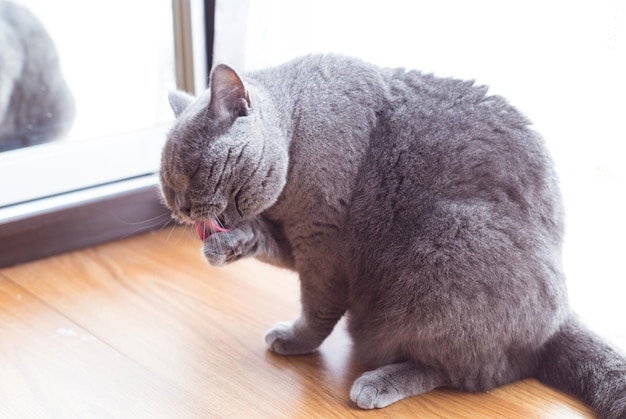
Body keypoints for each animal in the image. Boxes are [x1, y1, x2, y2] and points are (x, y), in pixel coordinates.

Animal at [160, 55, 624, 416]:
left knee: (474, 370)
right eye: (166, 183)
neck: (295, 132)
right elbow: (263, 239)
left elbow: (318, 307)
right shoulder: (296, 240)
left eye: (194, 172)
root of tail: (559, 320)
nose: (180, 206)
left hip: (451, 242)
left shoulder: (322, 243)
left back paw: (376, 383)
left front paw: (295, 339)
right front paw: (225, 246)